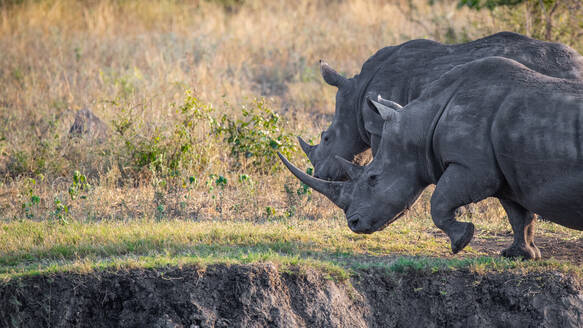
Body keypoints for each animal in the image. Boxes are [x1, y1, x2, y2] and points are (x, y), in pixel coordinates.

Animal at [282, 57, 583, 262]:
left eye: (372, 178)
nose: (353, 224)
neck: (421, 124)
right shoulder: (503, 170)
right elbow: (518, 213)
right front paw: (520, 255)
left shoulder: (472, 167)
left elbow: (438, 202)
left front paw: (461, 241)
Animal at [304, 31, 583, 181]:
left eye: (326, 138)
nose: (318, 175)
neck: (357, 93)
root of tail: (579, 65)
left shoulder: (379, 124)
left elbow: (380, 157)